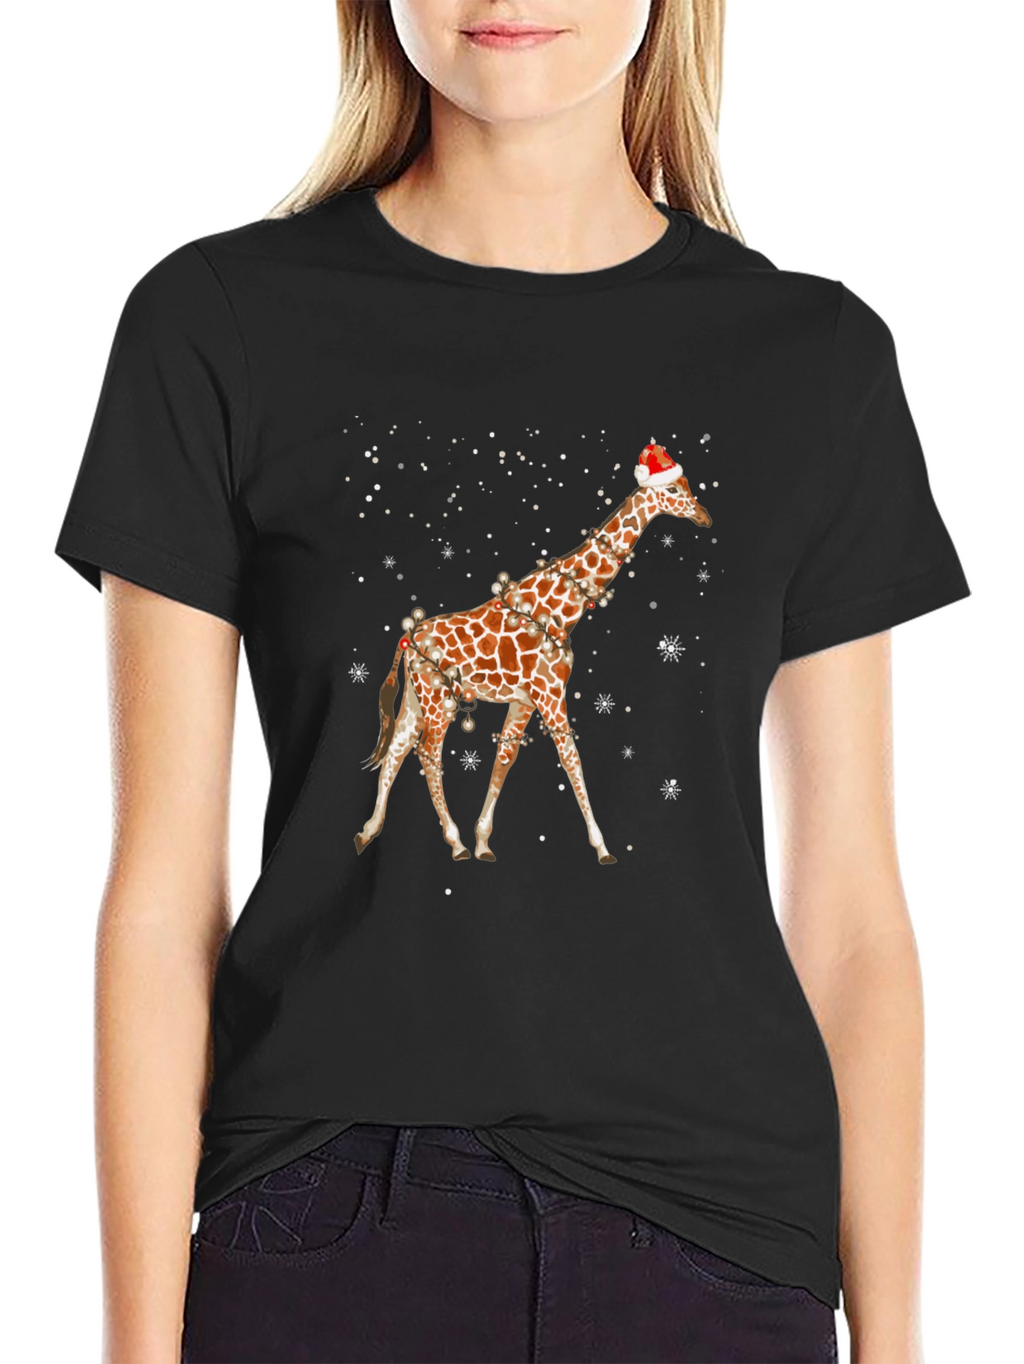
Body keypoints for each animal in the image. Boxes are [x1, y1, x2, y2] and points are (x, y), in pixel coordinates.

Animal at [355, 441, 711, 863]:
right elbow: (572, 759)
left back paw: (369, 831)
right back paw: (454, 843)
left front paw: (484, 841)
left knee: (396, 749)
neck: (560, 610)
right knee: (426, 753)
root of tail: (408, 640)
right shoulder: (550, 693)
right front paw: (602, 846)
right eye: (672, 489)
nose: (705, 518)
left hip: (416, 697)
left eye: (687, 484)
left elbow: (504, 759)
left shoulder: (524, 700)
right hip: (438, 699)